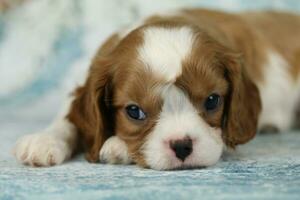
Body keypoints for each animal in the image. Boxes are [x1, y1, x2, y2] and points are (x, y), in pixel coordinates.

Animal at [12, 8, 300, 170]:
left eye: (211, 101)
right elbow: (67, 117)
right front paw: (44, 140)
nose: (182, 146)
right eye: (134, 111)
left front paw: (117, 147)